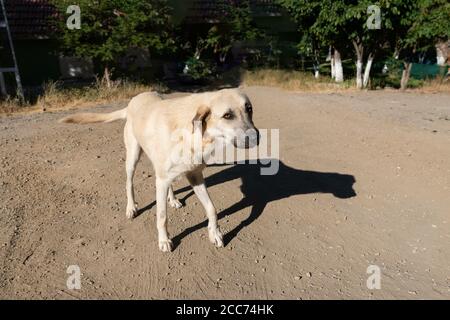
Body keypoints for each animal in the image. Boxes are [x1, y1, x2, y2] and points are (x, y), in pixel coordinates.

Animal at [59, 89, 260, 251]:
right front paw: (164, 241)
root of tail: (134, 100)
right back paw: (131, 207)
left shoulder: (194, 176)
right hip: (133, 157)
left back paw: (173, 199)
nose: (256, 137)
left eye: (249, 109)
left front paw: (215, 234)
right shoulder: (163, 181)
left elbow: (212, 208)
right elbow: (162, 216)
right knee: (129, 183)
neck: (192, 132)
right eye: (227, 115)